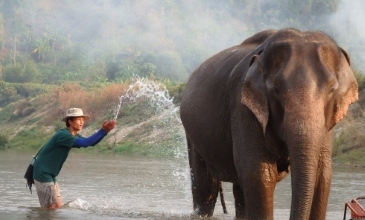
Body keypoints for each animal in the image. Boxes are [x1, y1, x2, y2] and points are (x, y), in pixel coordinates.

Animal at [178, 28, 356, 219]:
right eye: (276, 90)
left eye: (331, 90)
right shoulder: (242, 106)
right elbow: (258, 174)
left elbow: (322, 175)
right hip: (192, 134)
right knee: (206, 188)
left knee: (239, 190)